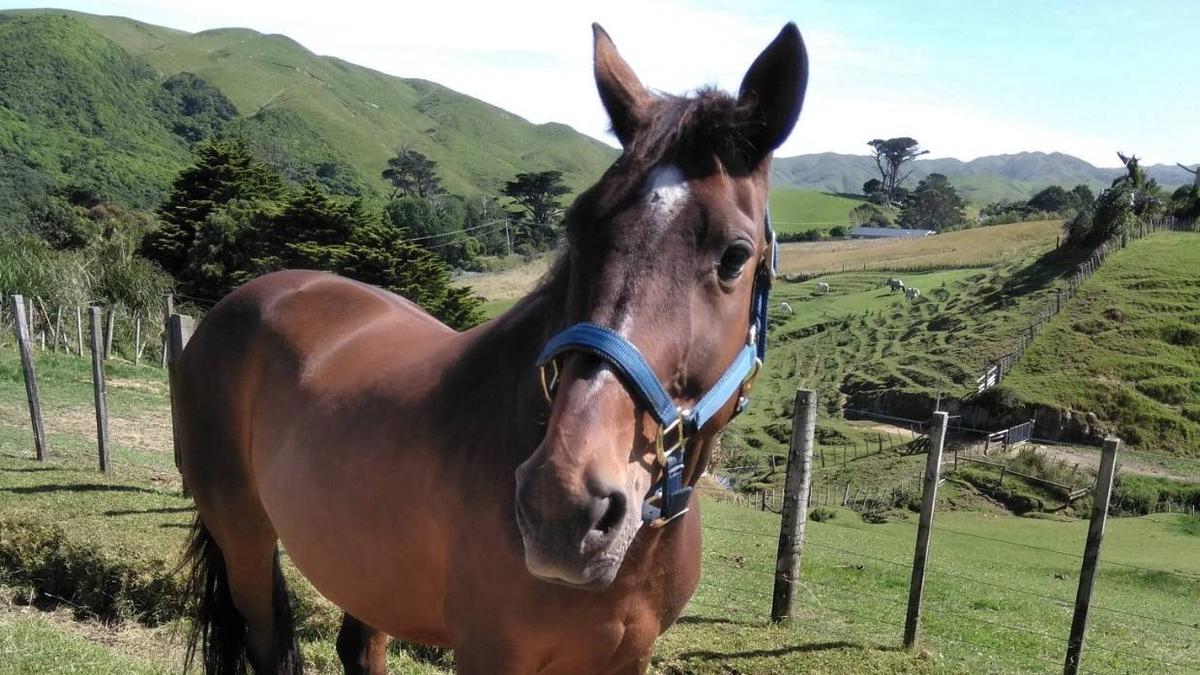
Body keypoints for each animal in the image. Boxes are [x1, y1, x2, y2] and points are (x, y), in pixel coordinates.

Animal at [173, 22, 808, 675]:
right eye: (577, 226)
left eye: (735, 255)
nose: (562, 507)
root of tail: (240, 301)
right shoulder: (490, 651)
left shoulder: (629, 657)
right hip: (244, 537)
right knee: (265, 639)